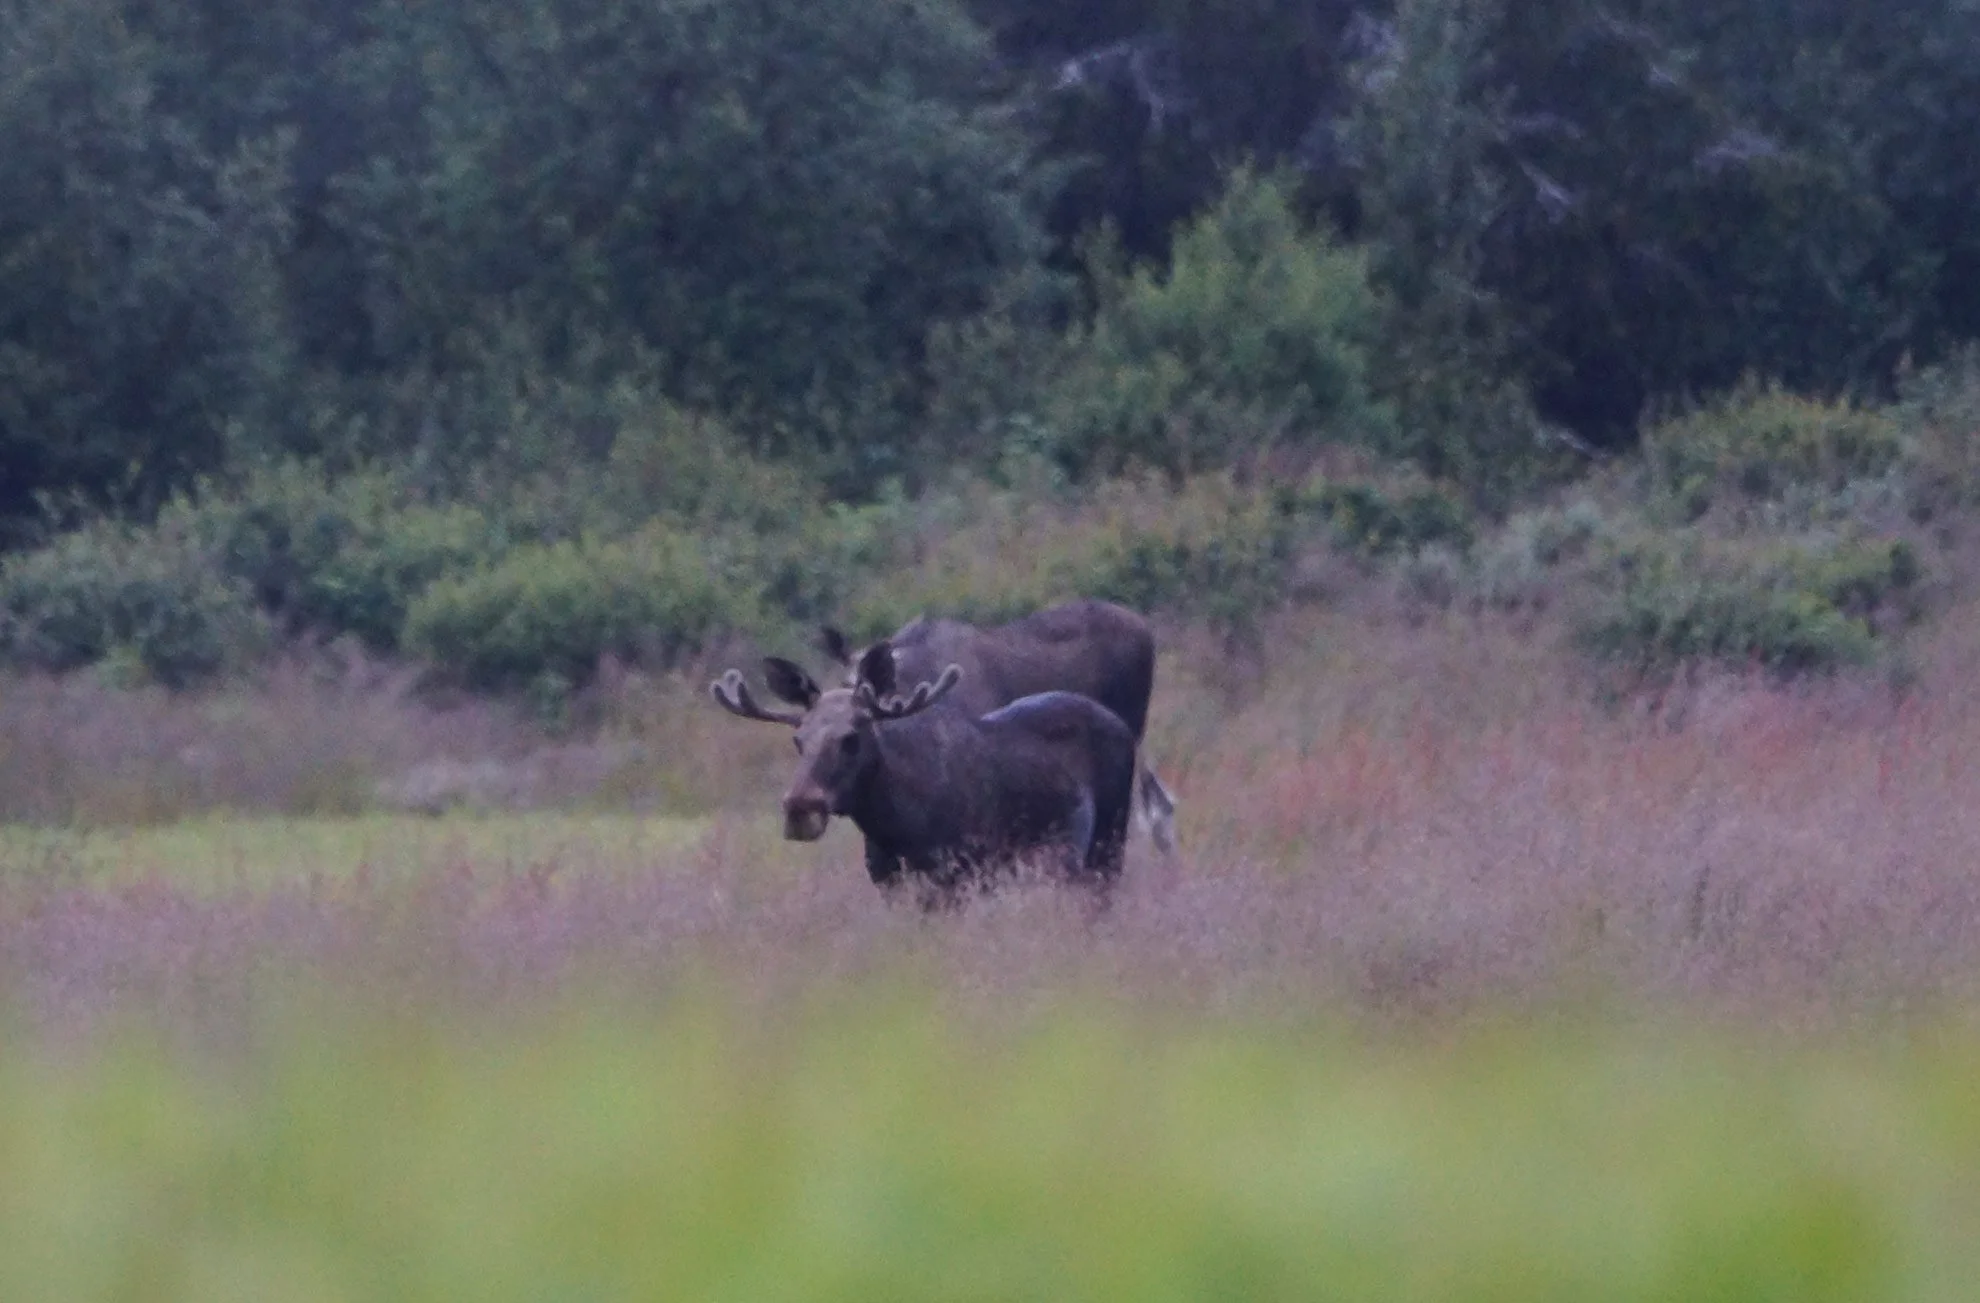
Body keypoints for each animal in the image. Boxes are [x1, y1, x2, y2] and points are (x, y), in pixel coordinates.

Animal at [710, 638, 1138, 905]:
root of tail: (1122, 726)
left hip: (1106, 844)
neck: (895, 825)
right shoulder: (889, 881)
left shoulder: (959, 874)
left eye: (851, 738)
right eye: (798, 739)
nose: (801, 808)